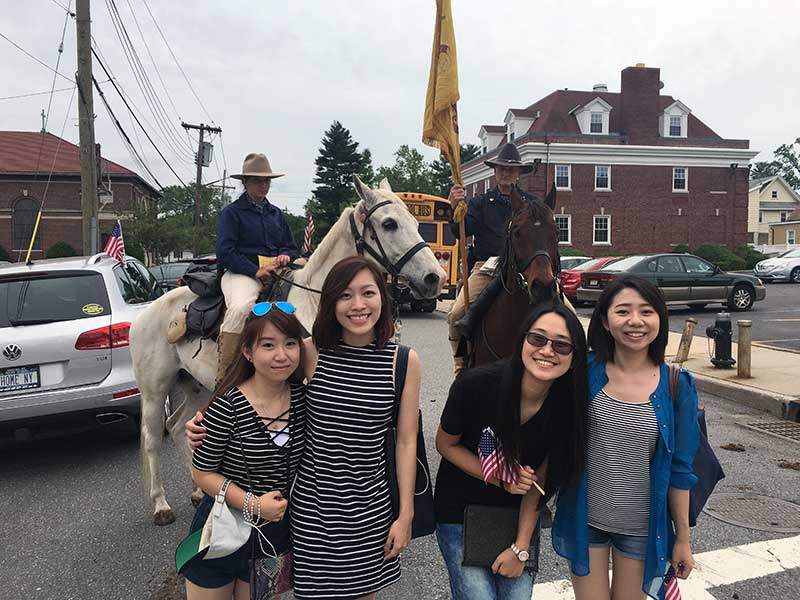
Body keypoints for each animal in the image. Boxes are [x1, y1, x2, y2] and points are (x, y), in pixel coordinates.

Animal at [128, 178, 446, 524]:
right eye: (389, 224)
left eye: (416, 223)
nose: (435, 278)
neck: (314, 303)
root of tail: (145, 312)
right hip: (155, 390)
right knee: (153, 438)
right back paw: (161, 505)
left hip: (197, 385)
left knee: (177, 427)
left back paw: (199, 491)